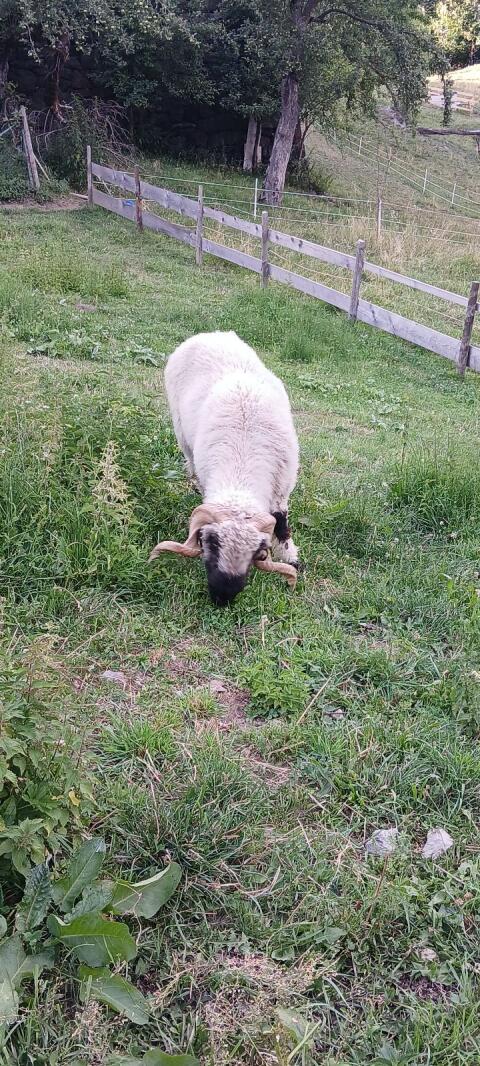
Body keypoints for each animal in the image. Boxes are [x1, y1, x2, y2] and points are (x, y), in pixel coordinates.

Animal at [149, 330, 299, 605]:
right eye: (211, 542)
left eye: (256, 551)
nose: (223, 595)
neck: (242, 464)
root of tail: (210, 333)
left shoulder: (282, 489)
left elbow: (282, 524)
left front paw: (291, 558)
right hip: (182, 436)